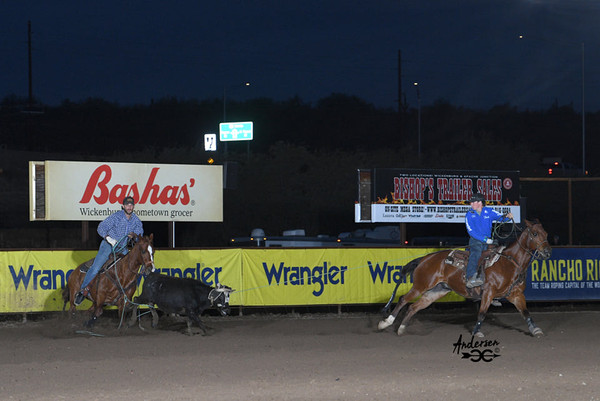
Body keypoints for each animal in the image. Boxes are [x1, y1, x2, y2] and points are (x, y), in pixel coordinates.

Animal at [380, 220, 552, 336]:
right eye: (534, 234)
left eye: (546, 234)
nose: (547, 252)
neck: (510, 262)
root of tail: (424, 259)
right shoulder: (488, 292)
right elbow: (482, 313)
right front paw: (476, 332)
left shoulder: (515, 294)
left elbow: (526, 312)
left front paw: (535, 330)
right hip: (421, 286)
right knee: (403, 299)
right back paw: (386, 323)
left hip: (436, 291)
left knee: (414, 307)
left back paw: (401, 328)